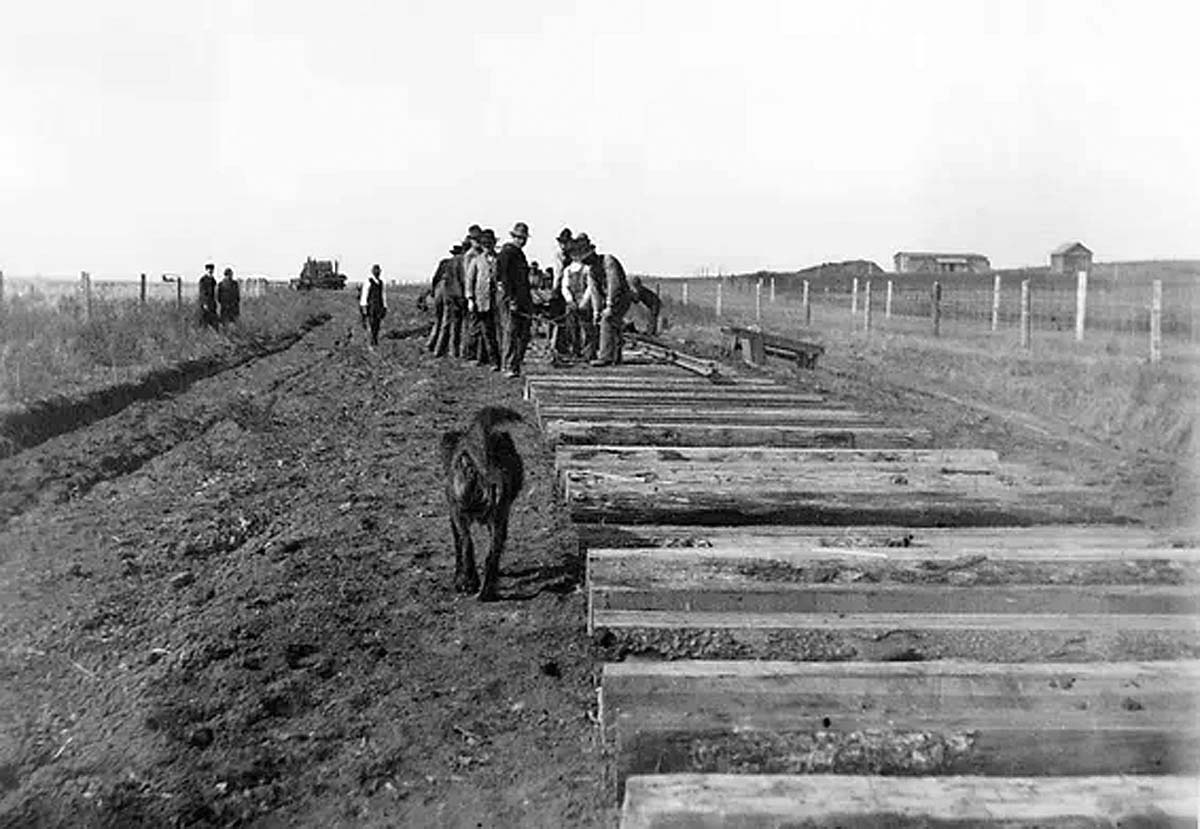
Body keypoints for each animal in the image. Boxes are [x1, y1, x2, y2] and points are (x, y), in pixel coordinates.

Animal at [436, 405, 520, 599]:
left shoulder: (453, 515)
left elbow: (458, 545)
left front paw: (459, 579)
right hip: (497, 517)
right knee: (492, 553)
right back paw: (486, 591)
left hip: (464, 515)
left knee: (468, 545)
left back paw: (470, 583)